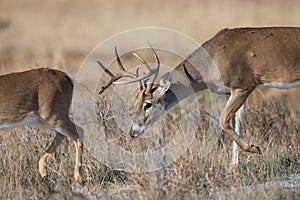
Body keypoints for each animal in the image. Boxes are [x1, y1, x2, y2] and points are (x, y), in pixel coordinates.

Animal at [98, 26, 300, 166]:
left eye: (148, 104)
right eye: (132, 105)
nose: (133, 132)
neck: (213, 59)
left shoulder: (244, 85)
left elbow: (223, 120)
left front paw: (254, 148)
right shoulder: (233, 91)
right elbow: (238, 122)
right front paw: (235, 165)